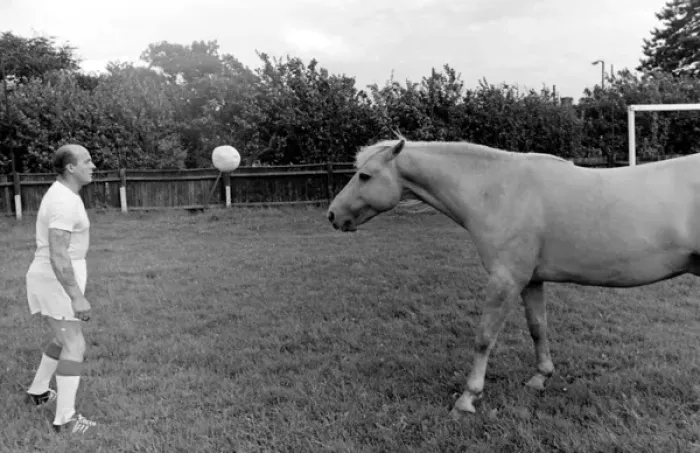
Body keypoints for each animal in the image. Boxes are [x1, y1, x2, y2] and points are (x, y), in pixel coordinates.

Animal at [326, 137, 700, 416]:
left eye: (365, 176)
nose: (332, 215)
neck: (498, 190)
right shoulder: (530, 280)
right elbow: (538, 328)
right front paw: (540, 378)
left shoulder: (505, 280)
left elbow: (484, 337)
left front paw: (467, 399)